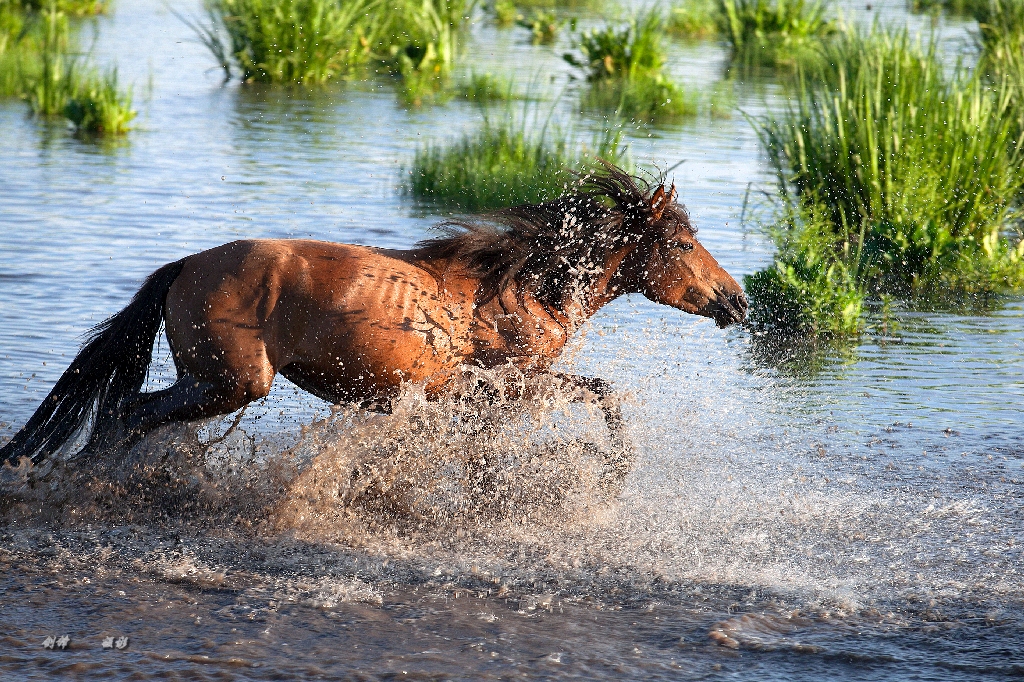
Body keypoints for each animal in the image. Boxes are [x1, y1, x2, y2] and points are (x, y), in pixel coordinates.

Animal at [0, 166, 745, 471]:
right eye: (683, 244)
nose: (735, 300)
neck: (521, 290)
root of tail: (185, 266)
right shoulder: (500, 385)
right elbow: (603, 395)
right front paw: (613, 467)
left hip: (213, 383)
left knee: (122, 413)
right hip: (228, 383)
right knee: (125, 413)